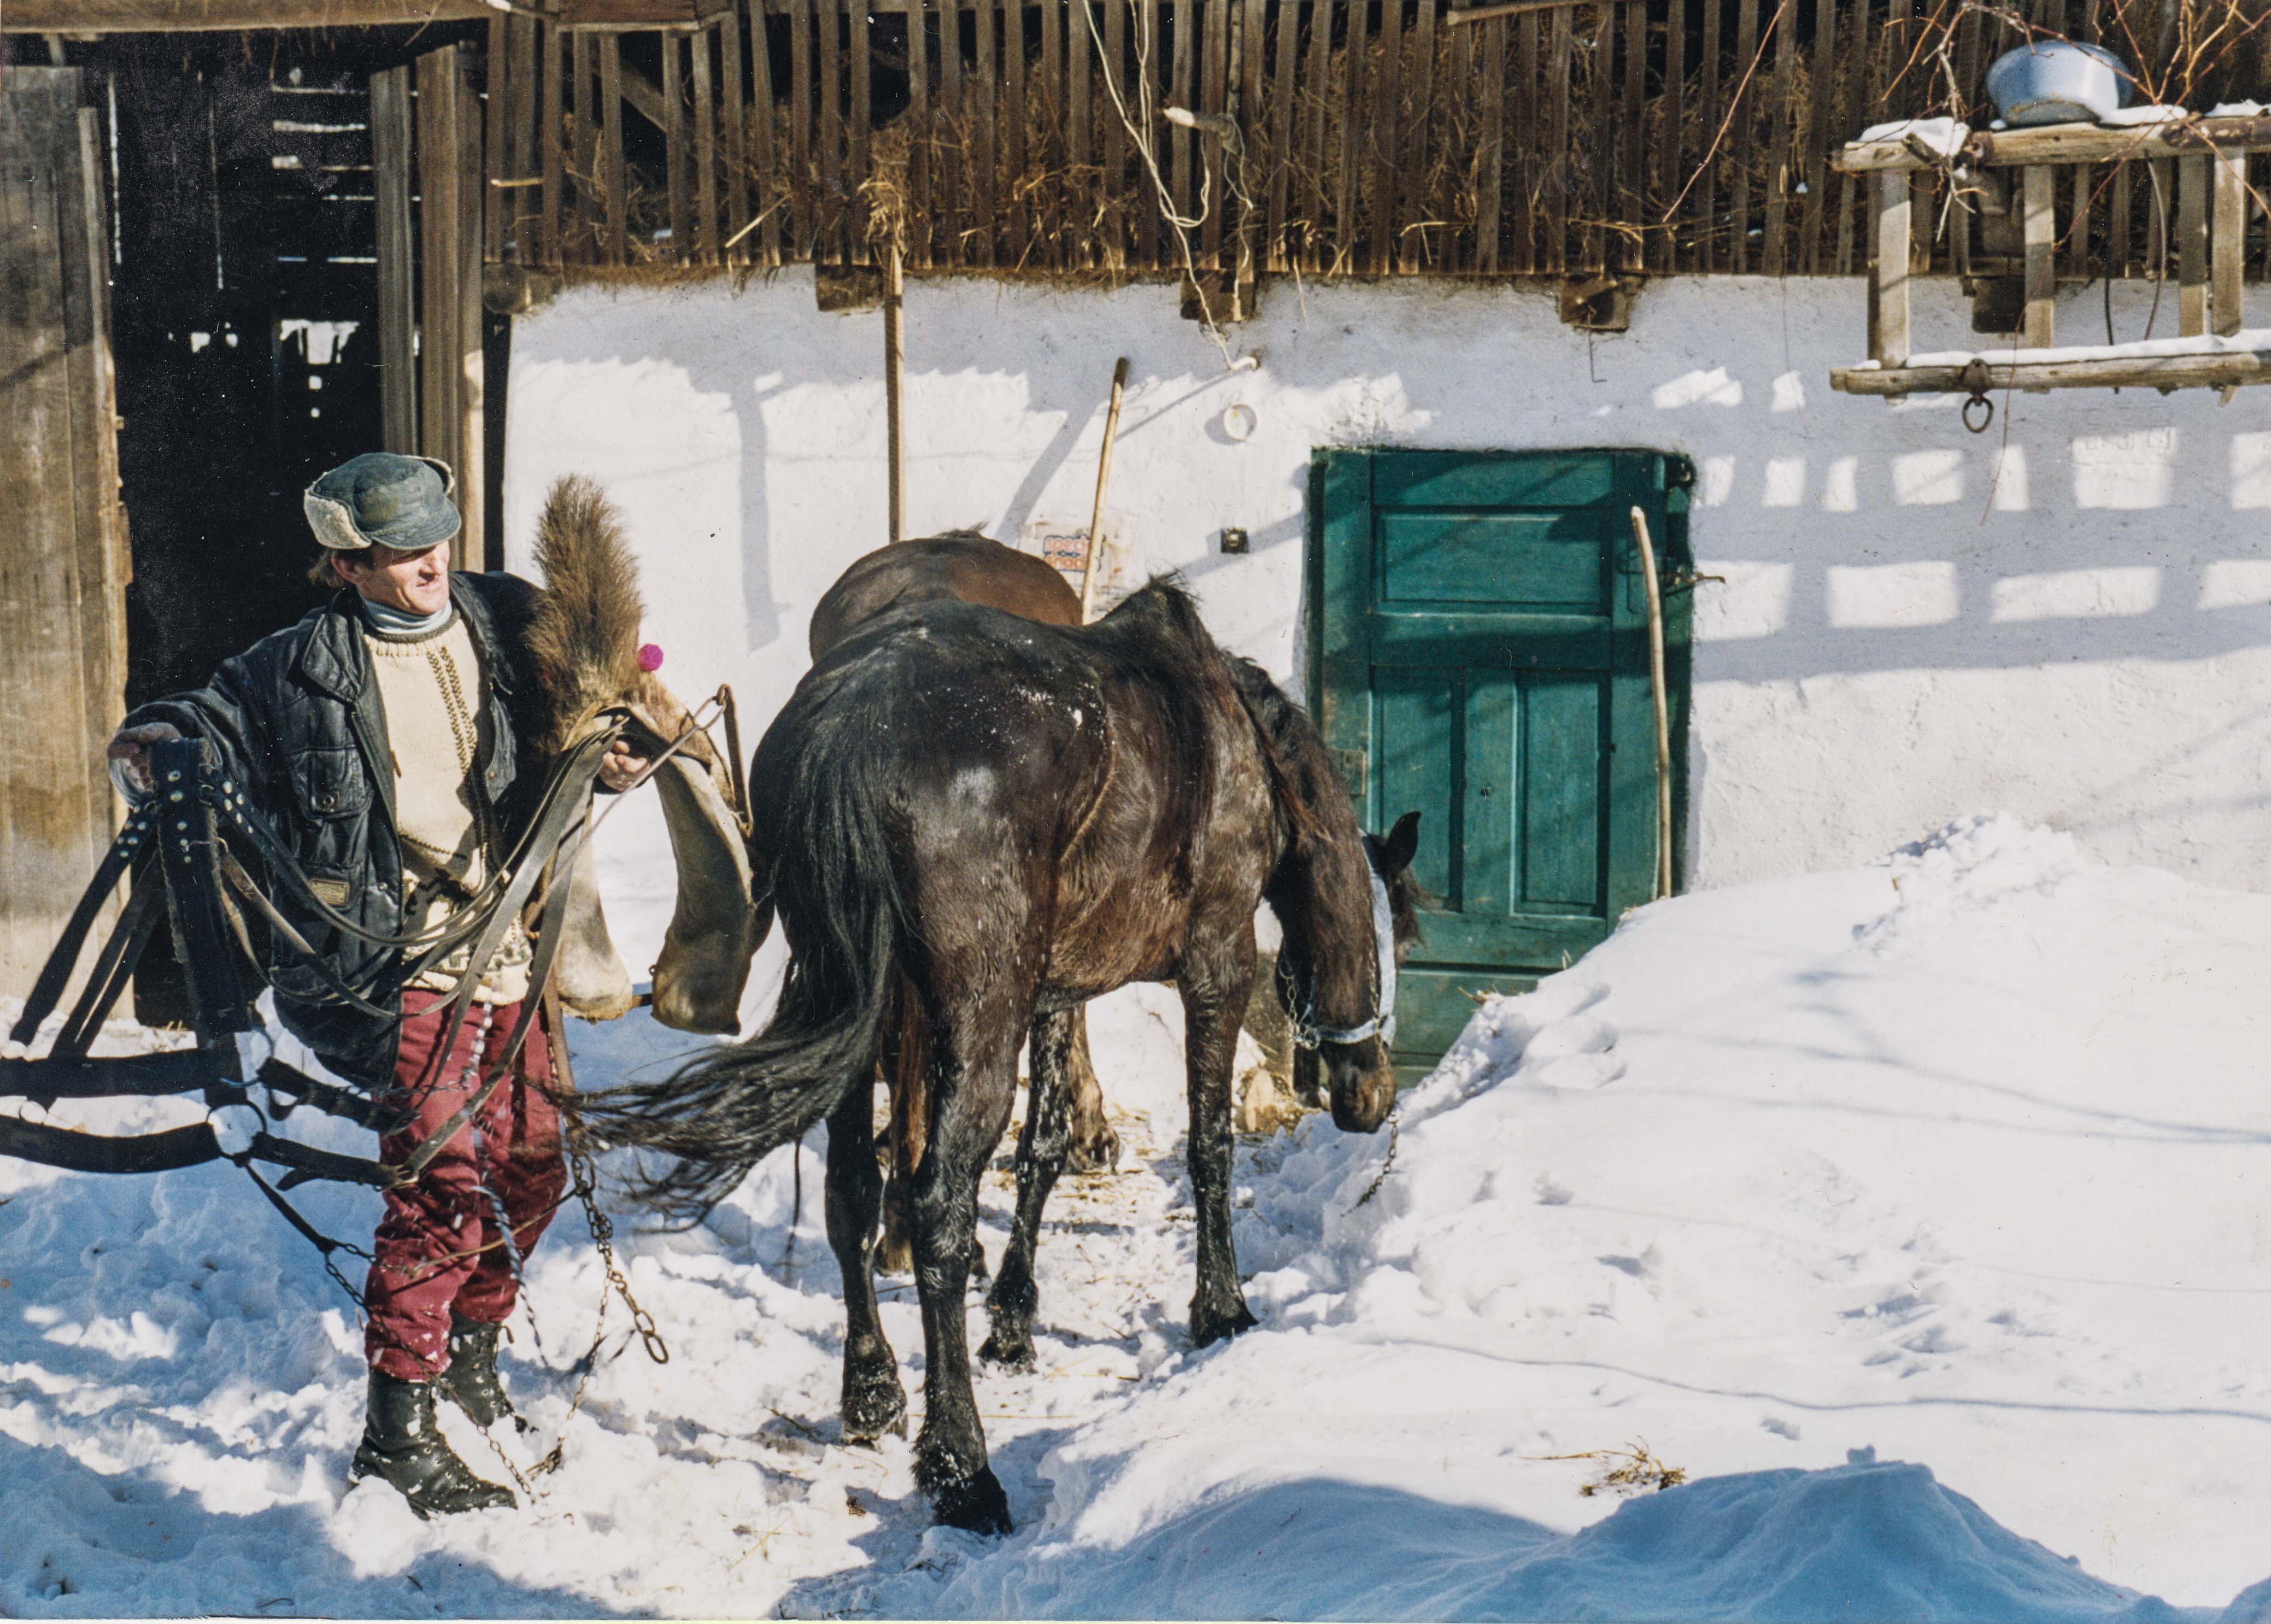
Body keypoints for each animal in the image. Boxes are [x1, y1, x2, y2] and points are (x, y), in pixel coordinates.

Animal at [583, 577, 1414, 1534]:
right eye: (1393, 937)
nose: (1369, 1094)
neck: (1236, 749)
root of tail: (851, 723)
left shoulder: (1054, 992)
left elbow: (1042, 1149)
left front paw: (1014, 1319)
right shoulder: (1216, 965)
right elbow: (1208, 1146)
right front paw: (1220, 1309)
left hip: (862, 1001)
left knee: (850, 1191)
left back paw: (871, 1391)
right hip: (977, 1015)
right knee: (937, 1205)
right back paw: (962, 1468)